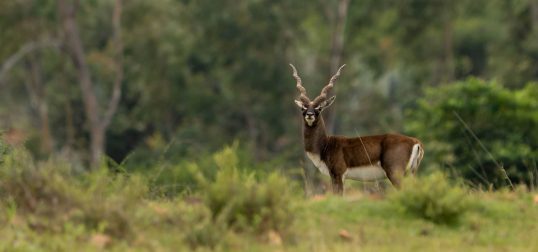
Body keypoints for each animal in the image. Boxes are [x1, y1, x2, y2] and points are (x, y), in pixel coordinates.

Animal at [288, 63, 422, 195]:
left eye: (319, 108)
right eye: (303, 107)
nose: (309, 114)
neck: (325, 145)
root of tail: (415, 142)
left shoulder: (338, 174)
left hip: (396, 174)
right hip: (411, 173)